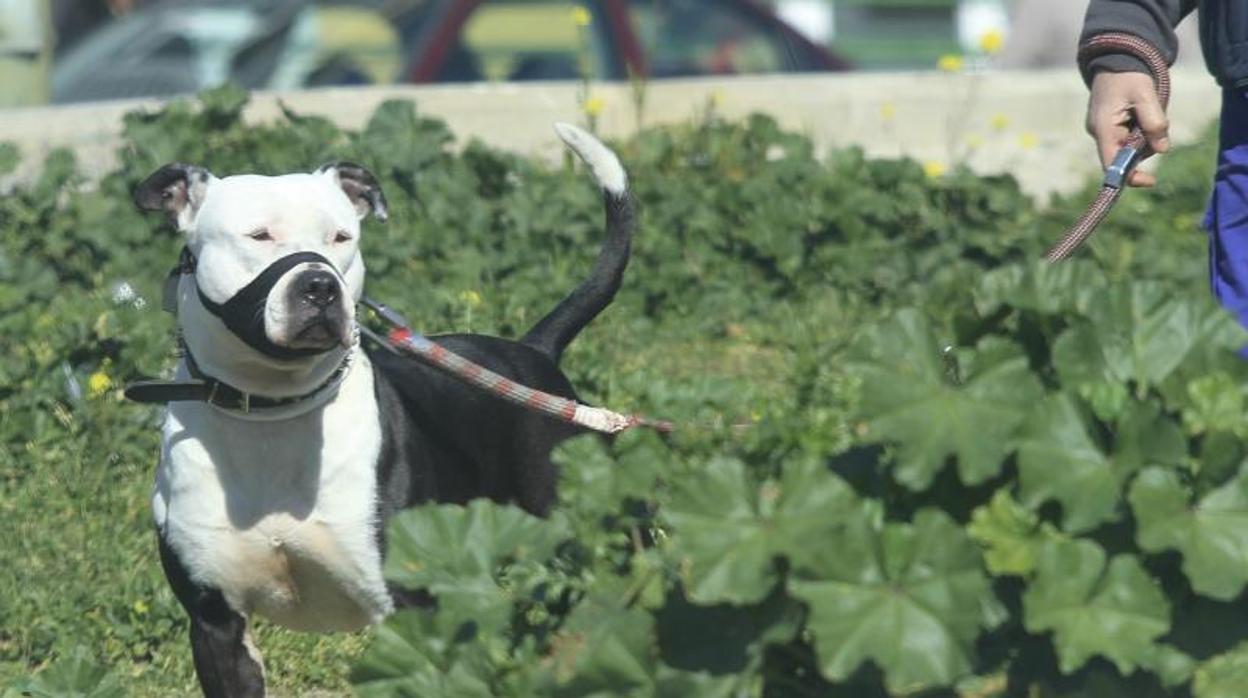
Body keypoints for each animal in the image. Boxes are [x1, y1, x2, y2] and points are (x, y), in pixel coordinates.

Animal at [134, 122, 633, 694]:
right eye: (259, 236)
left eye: (342, 238)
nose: (320, 285)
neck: (271, 412)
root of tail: (534, 350)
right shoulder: (216, 624)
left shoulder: (413, 607)